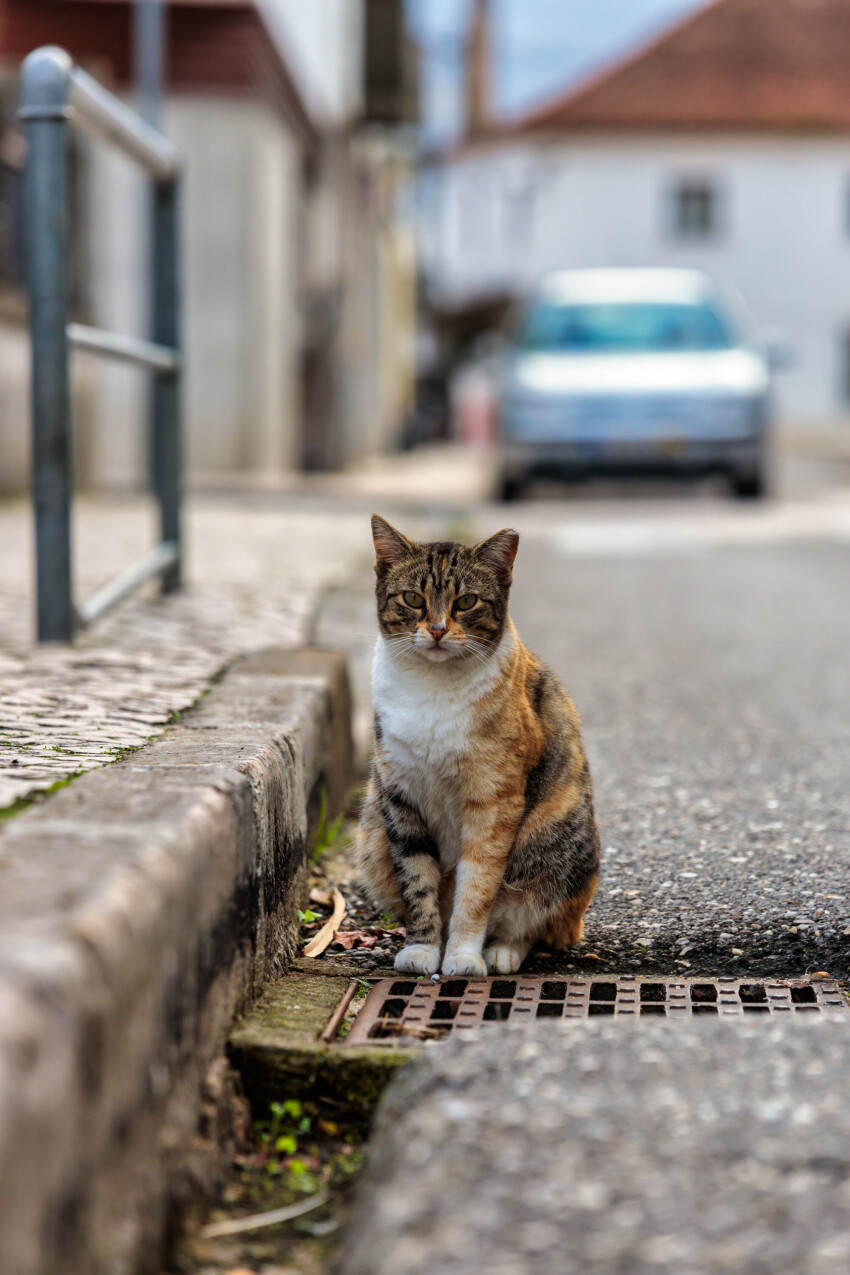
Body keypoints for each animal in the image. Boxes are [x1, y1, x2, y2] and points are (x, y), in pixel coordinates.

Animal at [356, 510, 601, 974]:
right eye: (413, 598)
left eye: (466, 602)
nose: (436, 630)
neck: (433, 686)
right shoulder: (400, 797)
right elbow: (417, 882)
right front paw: (423, 949)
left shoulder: (494, 801)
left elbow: (478, 887)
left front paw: (463, 956)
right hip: (373, 830)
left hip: (551, 845)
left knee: (533, 920)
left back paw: (502, 951)